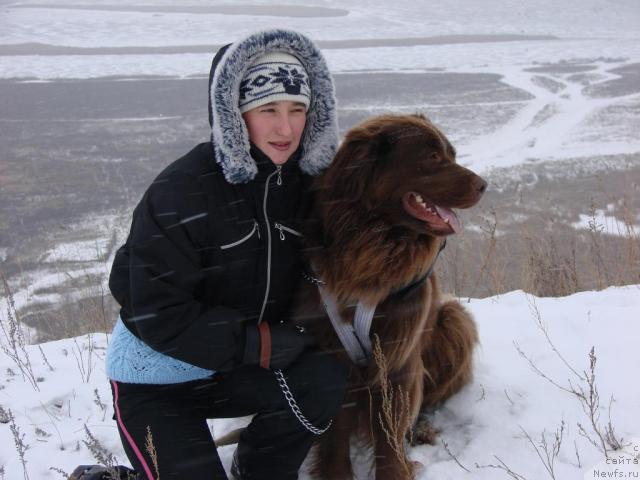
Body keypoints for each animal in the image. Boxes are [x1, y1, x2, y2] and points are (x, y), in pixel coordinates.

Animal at [292, 114, 488, 478]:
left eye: (451, 154)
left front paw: (396, 470)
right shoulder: (335, 351)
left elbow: (389, 432)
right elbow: (336, 434)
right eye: (433, 157)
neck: (374, 245)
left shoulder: (398, 355)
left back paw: (421, 430)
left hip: (453, 320)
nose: (484, 185)